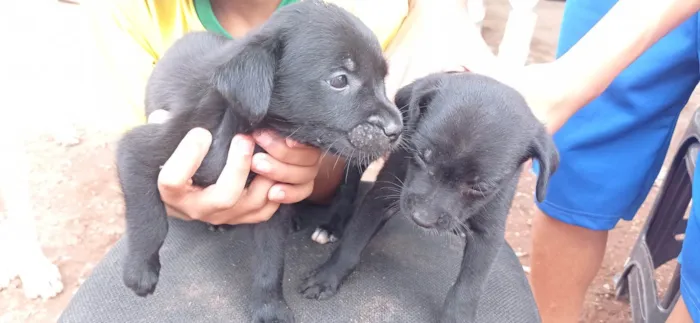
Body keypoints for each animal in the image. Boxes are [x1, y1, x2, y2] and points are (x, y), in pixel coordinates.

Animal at [117, 1, 402, 322]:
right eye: (340, 80)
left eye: (382, 79)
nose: (397, 130)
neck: (238, 126)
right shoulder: (139, 149)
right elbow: (149, 219)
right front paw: (140, 269)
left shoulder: (271, 201)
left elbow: (271, 260)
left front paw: (269, 306)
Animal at [298, 72, 560, 322]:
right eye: (422, 156)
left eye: (480, 187)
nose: (422, 218)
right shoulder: (382, 195)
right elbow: (353, 240)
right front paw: (327, 276)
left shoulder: (490, 231)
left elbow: (470, 285)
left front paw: (457, 316)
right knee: (350, 182)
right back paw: (333, 224)